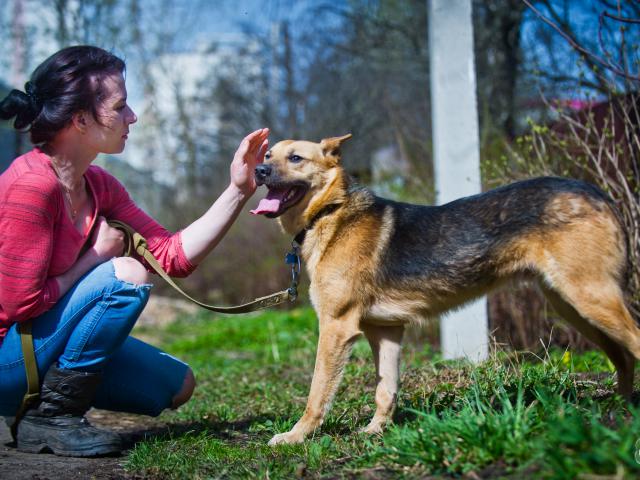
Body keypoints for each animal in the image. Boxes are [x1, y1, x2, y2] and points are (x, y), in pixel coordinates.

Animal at [251, 133, 640, 444]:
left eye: (296, 158)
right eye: (268, 154)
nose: (258, 171)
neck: (331, 212)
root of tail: (598, 193)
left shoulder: (336, 327)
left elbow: (317, 393)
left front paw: (296, 436)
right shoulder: (386, 331)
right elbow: (385, 390)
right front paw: (376, 432)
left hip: (591, 299)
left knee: (632, 344)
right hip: (572, 306)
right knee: (623, 358)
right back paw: (618, 409)